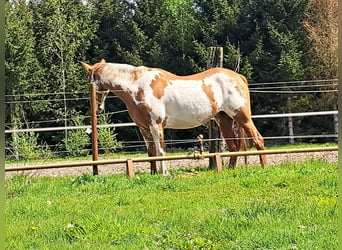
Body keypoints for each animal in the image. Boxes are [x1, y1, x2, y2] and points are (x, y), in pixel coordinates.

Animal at [81, 59, 266, 175]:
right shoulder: (144, 128)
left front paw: (164, 173)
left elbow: (161, 151)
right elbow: (151, 153)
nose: (97, 108)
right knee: (234, 146)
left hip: (242, 117)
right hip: (224, 119)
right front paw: (153, 173)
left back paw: (264, 167)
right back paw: (230, 170)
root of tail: (238, 77)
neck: (138, 86)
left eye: (90, 82)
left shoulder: (156, 125)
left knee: (258, 139)